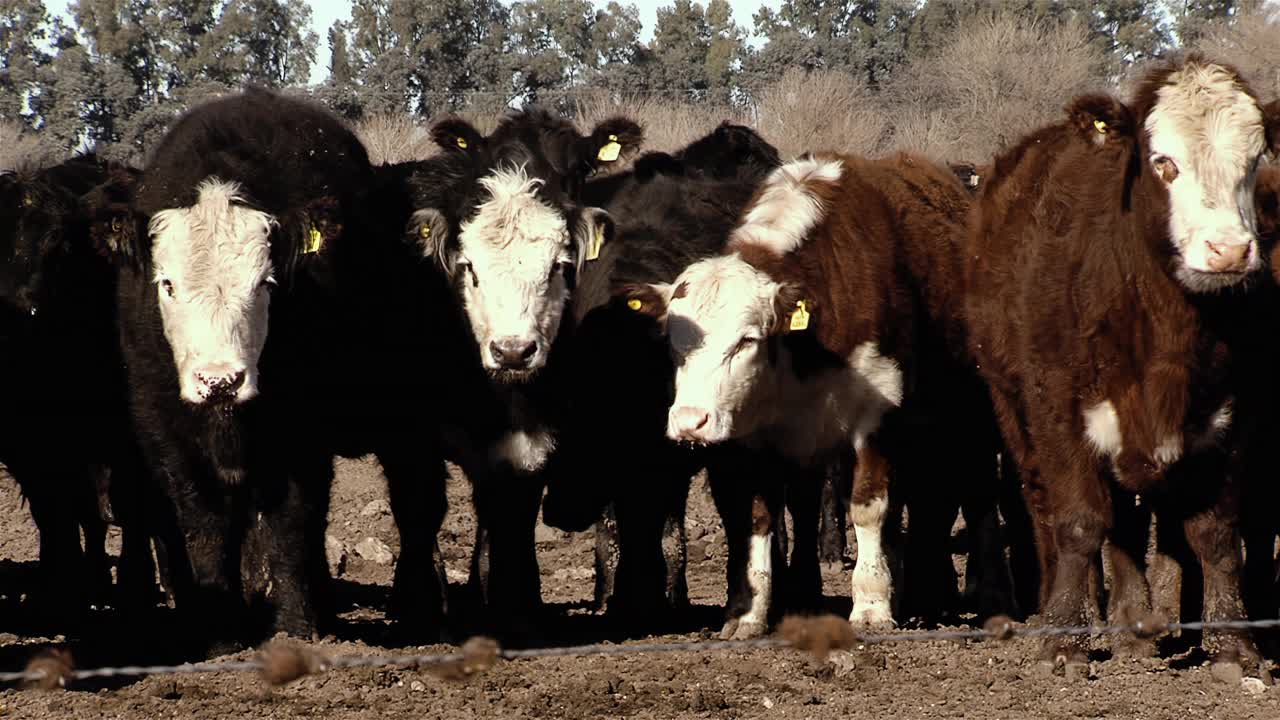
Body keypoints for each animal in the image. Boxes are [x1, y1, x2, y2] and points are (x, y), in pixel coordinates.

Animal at [86, 88, 371, 645]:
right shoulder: (164, 424)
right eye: (167, 284)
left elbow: (290, 523)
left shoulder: (302, 430)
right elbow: (203, 522)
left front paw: (294, 627)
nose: (220, 380)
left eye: (265, 283)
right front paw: (218, 631)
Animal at [624, 151, 1013, 632]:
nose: (690, 421)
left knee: (976, 491)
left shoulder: (877, 416)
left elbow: (867, 505)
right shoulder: (761, 435)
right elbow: (760, 517)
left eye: (747, 340)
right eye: (673, 341)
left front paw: (871, 604)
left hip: (971, 408)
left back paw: (988, 593)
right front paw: (748, 612)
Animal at [967, 54, 1280, 671]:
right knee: (1048, 513)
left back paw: (1135, 626)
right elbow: (1079, 521)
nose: (1230, 251)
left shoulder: (1236, 410)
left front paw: (1233, 644)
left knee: (1131, 524)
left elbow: (1215, 532)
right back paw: (1069, 613)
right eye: (1165, 164)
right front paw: (1063, 642)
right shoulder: (1056, 404)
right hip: (1010, 407)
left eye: (1255, 161)